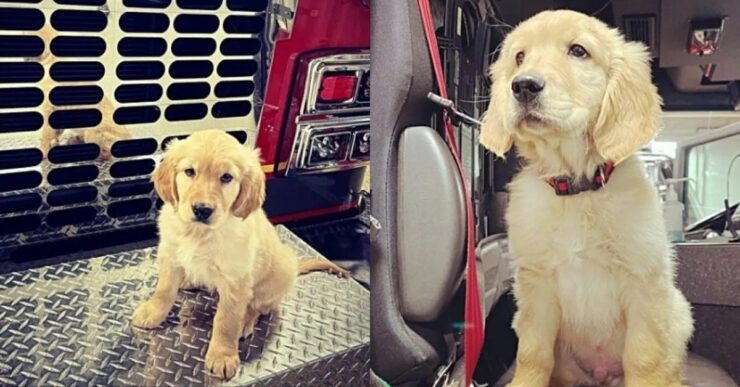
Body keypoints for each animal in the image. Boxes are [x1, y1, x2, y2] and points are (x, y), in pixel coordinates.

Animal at [131, 130, 350, 378]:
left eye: (226, 177)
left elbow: (226, 321)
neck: (199, 232)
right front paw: (152, 312)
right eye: (189, 172)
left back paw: (246, 320)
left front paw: (223, 355)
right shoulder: (170, 256)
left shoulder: (235, 280)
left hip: (274, 279)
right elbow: (164, 291)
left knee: (259, 306)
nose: (202, 210)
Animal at [480, 9, 692, 387]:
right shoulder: (535, 287)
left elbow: (643, 356)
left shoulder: (644, 280)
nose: (523, 85)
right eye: (519, 57)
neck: (576, 190)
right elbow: (533, 354)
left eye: (578, 51)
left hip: (679, 311)